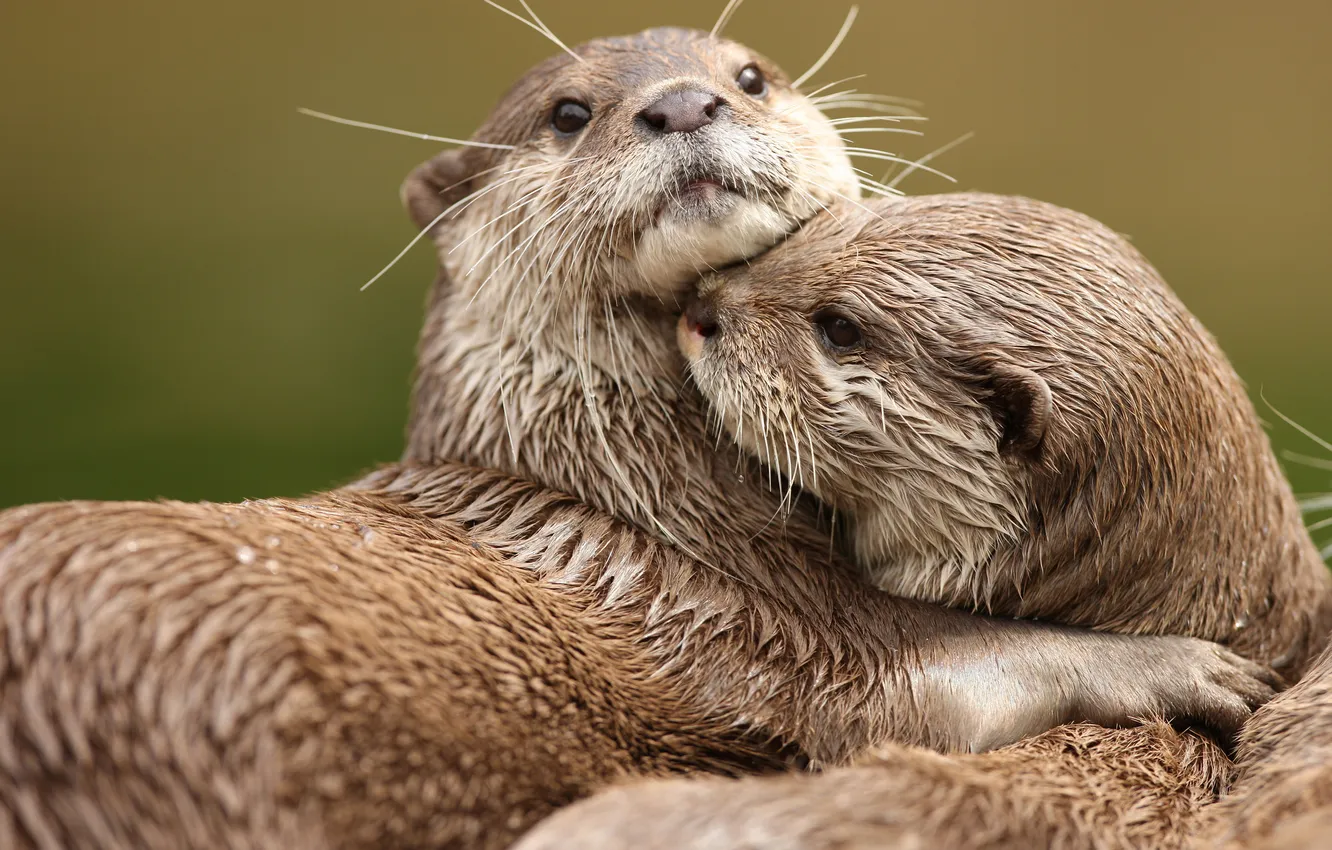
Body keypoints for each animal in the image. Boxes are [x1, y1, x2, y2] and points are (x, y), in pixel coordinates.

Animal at [0, 29, 1280, 850]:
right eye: (571, 113)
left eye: (748, 74)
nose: (682, 103)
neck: (624, 473)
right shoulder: (758, 618)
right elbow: (941, 674)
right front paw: (1175, 663)